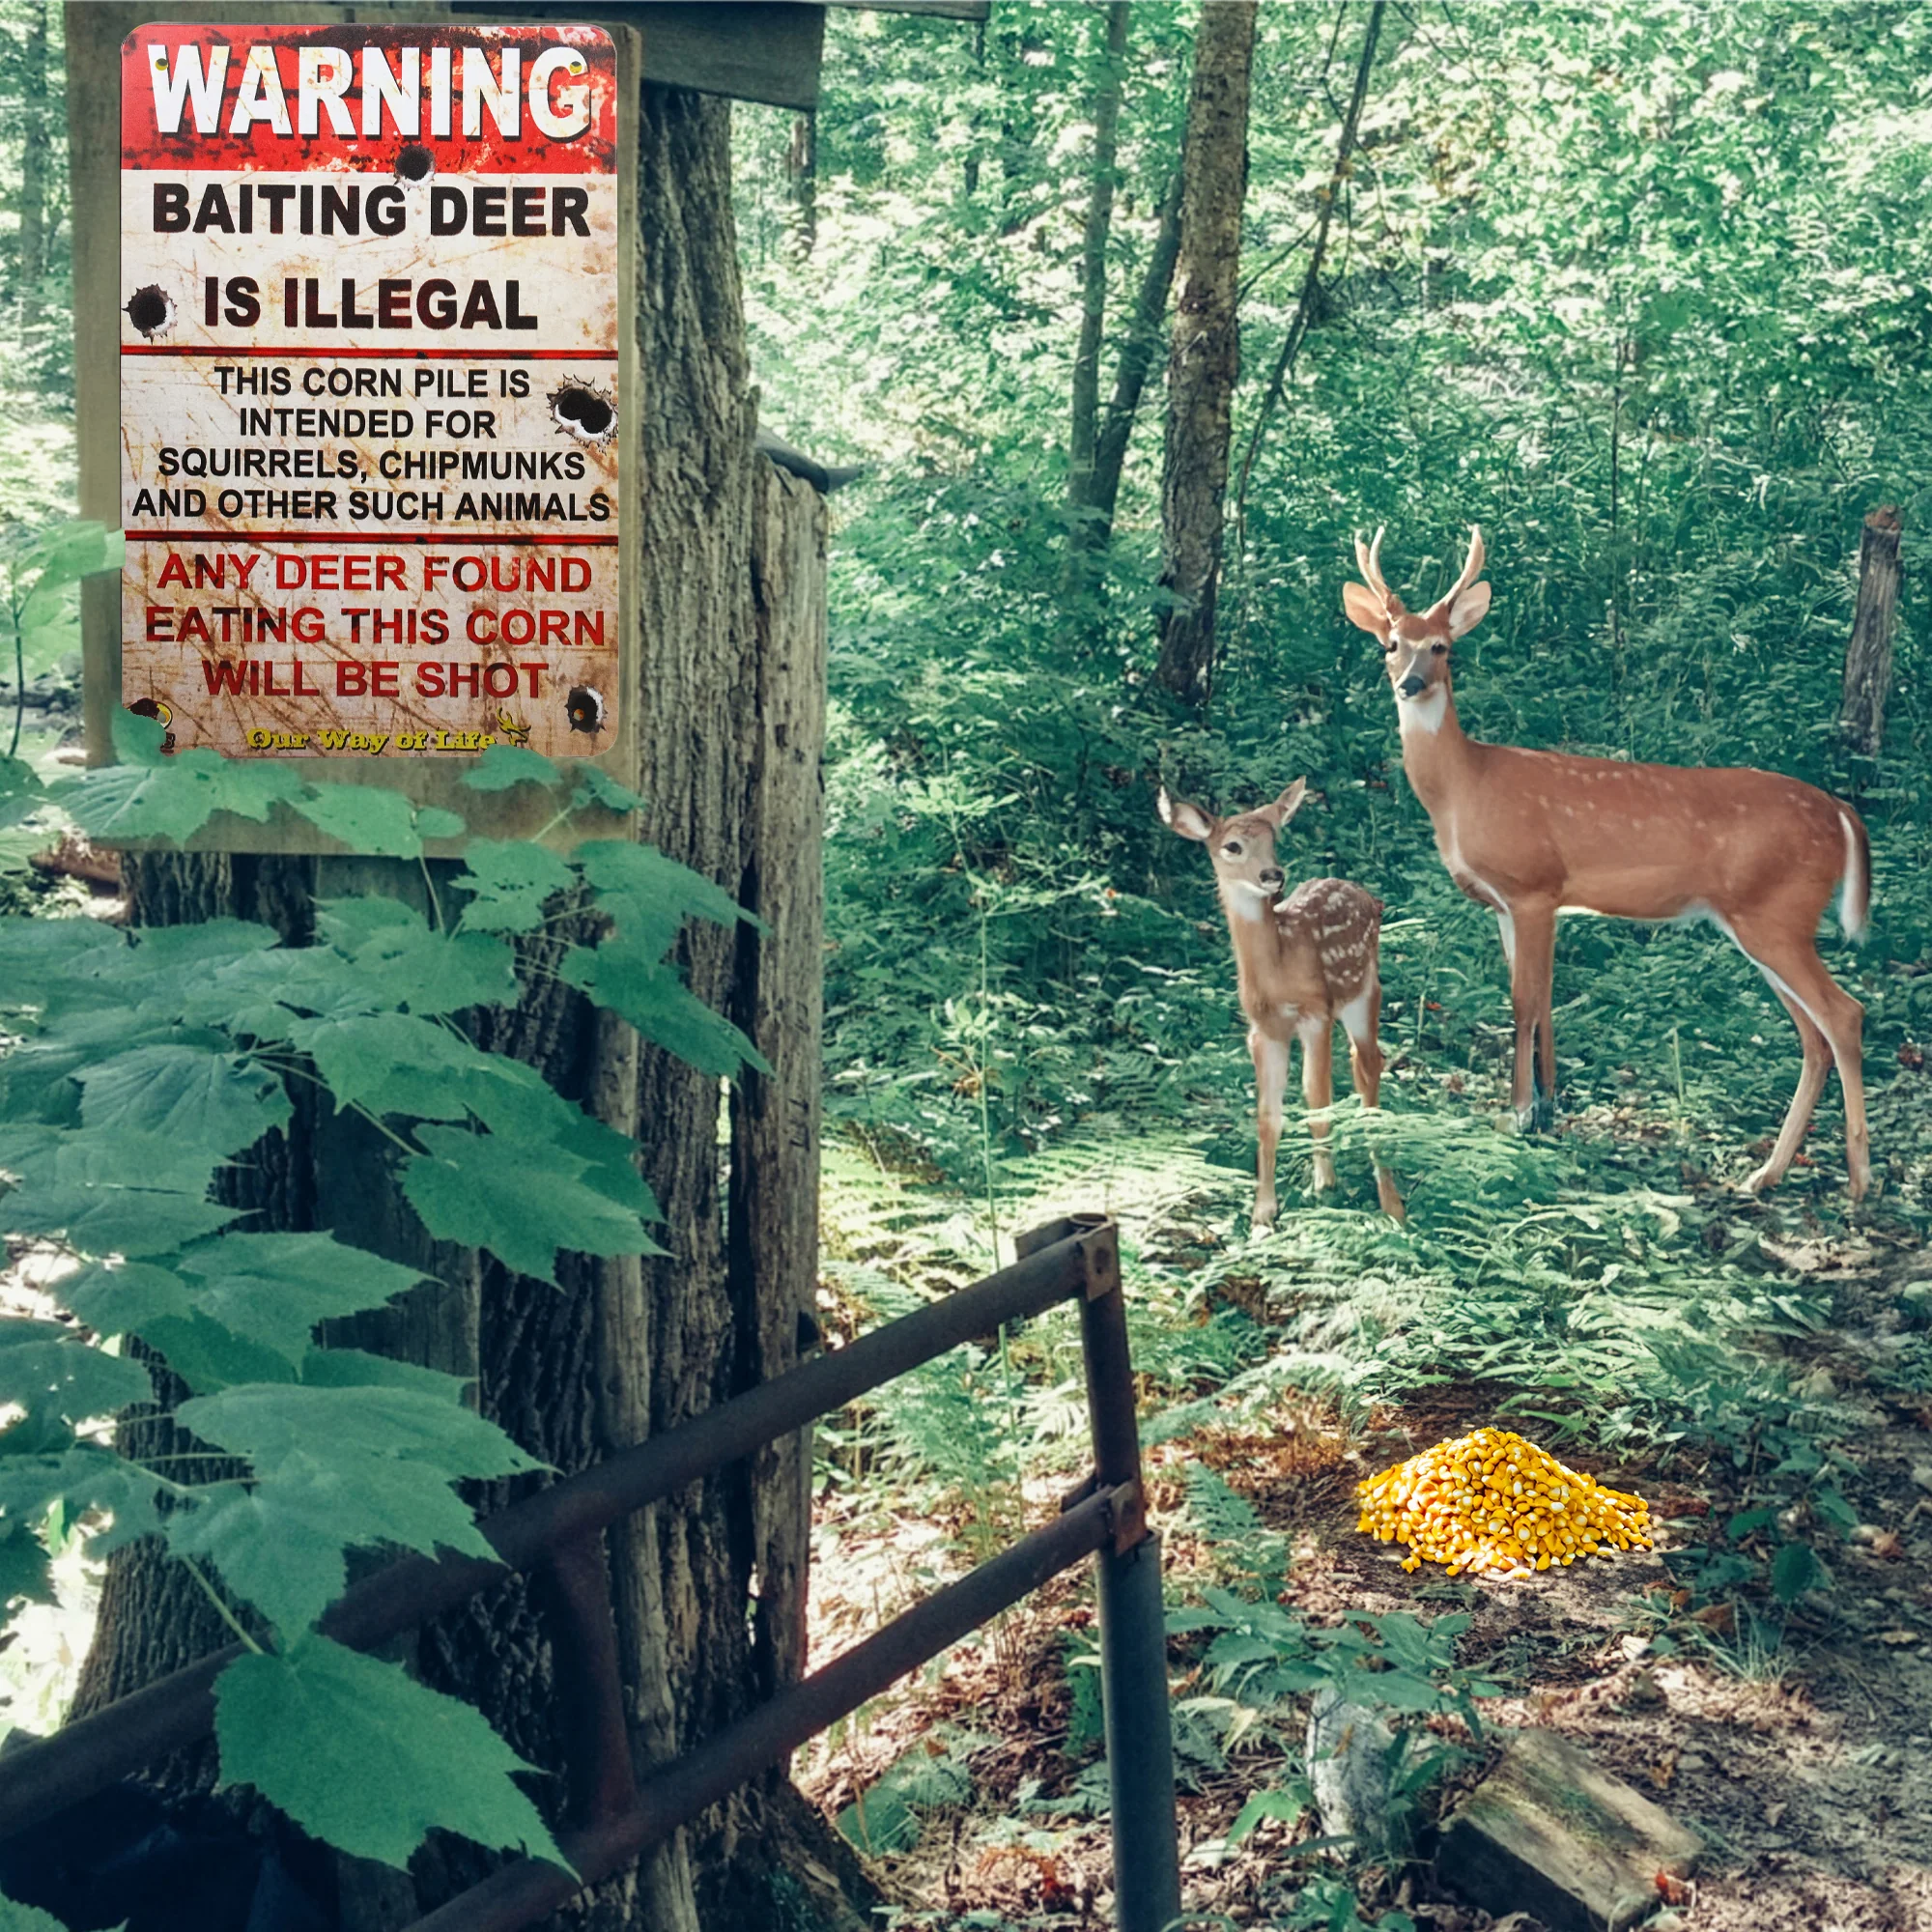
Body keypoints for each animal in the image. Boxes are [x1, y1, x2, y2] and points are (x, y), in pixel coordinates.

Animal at [1159, 781, 1406, 1224]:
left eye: (1274, 839)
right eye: (1233, 846)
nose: (1273, 875)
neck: (1279, 968)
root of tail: (1369, 897)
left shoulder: (1317, 1013)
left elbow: (1316, 1096)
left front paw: (1324, 1185)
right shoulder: (1262, 1029)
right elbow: (1267, 1117)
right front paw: (1262, 1214)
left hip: (1364, 992)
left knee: (1369, 1067)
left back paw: (1391, 1200)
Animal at [1343, 524, 1873, 1200]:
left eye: (1442, 647)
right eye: (1390, 644)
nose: (1409, 683)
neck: (1465, 788)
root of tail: (1841, 811)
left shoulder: (1534, 887)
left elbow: (1523, 1002)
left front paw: (1518, 1113)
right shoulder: (1510, 905)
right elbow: (1543, 1000)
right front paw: (1546, 1110)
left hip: (1775, 915)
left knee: (1844, 1015)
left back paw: (1858, 1180)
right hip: (1765, 922)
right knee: (1814, 1035)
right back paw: (1765, 1174)